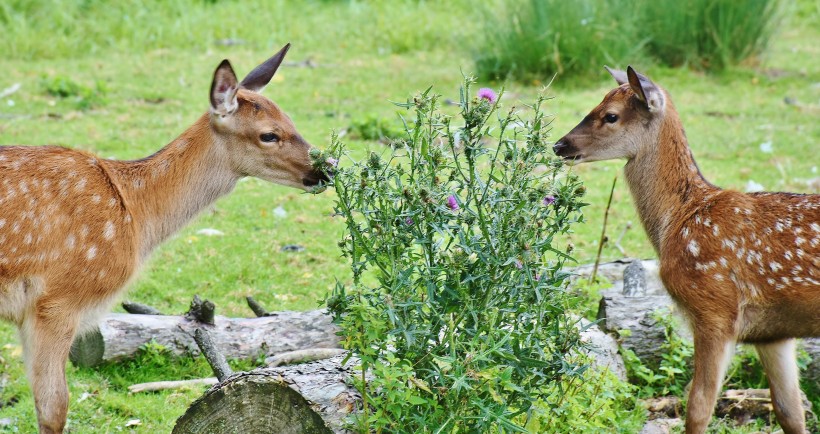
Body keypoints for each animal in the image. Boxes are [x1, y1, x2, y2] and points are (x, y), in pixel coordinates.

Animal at [0, 45, 334, 434]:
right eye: (269, 134)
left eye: (291, 120)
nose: (326, 169)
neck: (135, 213)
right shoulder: (57, 299)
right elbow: (54, 407)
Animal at [556, 66, 820, 432]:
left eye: (610, 115)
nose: (559, 145)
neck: (678, 219)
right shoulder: (772, 332)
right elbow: (789, 411)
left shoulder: (714, 307)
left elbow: (698, 407)